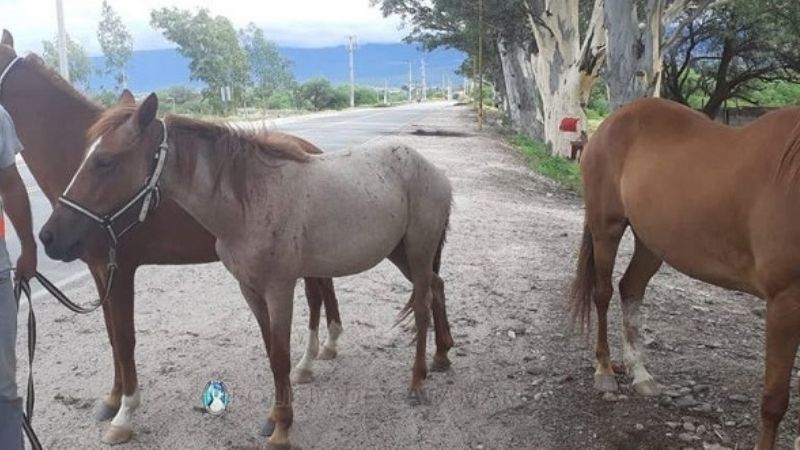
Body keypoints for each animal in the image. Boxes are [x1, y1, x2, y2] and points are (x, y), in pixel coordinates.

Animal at [0, 30, 345, 444]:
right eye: (88, 157)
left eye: (104, 162)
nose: (49, 237)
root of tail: (310, 150)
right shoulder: (101, 270)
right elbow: (112, 335)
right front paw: (112, 399)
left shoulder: (121, 270)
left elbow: (126, 338)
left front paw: (125, 414)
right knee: (321, 291)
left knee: (316, 295)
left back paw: (309, 361)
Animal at [40, 92, 454, 448]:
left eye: (105, 161)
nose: (49, 237)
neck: (249, 200)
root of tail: (433, 171)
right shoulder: (250, 290)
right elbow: (272, 353)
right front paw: (274, 418)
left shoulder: (279, 289)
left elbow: (282, 355)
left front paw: (283, 430)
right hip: (401, 254)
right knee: (436, 287)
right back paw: (442, 357)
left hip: (417, 252)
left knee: (421, 308)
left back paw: (417, 384)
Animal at [571, 97, 800, 449]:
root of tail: (611, 122)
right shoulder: (785, 302)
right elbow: (775, 401)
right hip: (605, 228)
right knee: (603, 294)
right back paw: (605, 371)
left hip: (652, 242)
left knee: (630, 288)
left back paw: (640, 374)